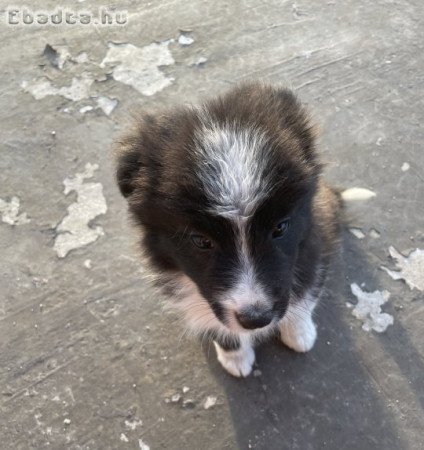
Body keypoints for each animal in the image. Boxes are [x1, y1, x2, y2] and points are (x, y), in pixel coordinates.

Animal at [115, 83, 342, 376]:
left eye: (280, 227)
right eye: (201, 241)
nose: (256, 319)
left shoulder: (312, 246)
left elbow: (306, 292)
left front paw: (300, 332)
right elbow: (218, 326)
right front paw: (235, 358)